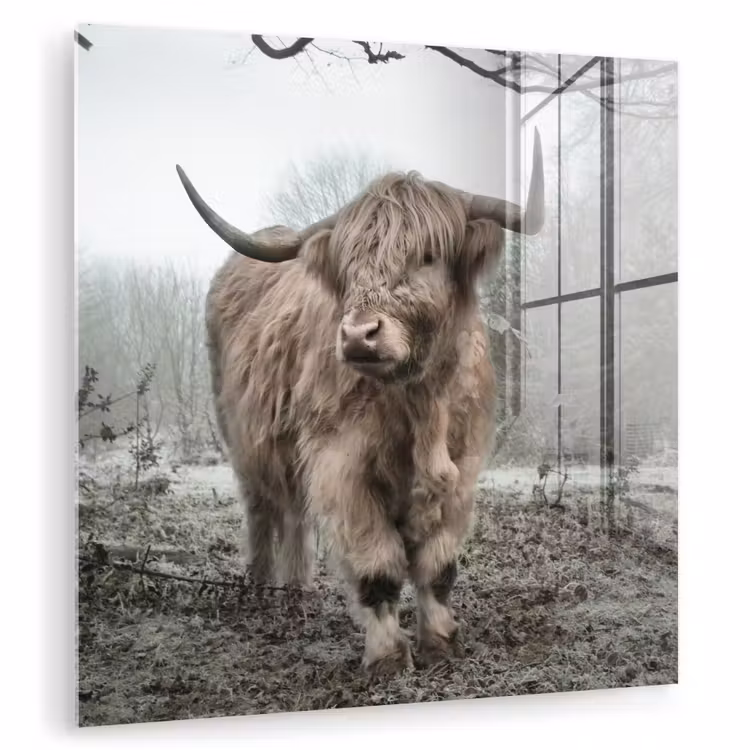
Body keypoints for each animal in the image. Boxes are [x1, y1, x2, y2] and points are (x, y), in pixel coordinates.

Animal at [175, 131, 544, 676]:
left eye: (428, 254)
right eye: (349, 264)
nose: (357, 336)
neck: (420, 402)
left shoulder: (463, 469)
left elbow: (438, 567)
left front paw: (441, 643)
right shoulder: (342, 467)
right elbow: (378, 567)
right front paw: (388, 657)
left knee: (294, 515)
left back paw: (297, 591)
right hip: (244, 441)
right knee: (263, 510)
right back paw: (262, 589)